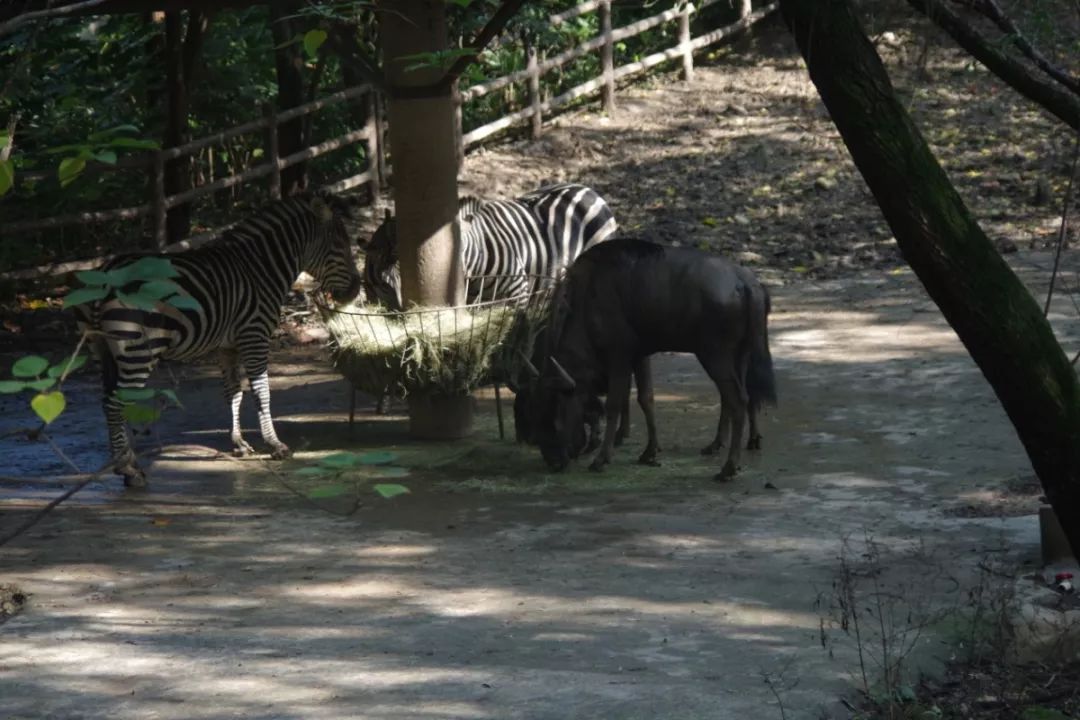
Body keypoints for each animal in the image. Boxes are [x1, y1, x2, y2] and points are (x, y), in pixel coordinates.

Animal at [75, 191, 367, 487]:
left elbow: (233, 392)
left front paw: (240, 444)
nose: (356, 289)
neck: (262, 267)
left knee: (107, 402)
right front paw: (275, 445)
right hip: (136, 348)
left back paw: (127, 463)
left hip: (102, 350)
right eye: (339, 246)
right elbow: (262, 391)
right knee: (115, 404)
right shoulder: (255, 335)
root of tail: (105, 274)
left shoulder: (228, 346)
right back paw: (128, 469)